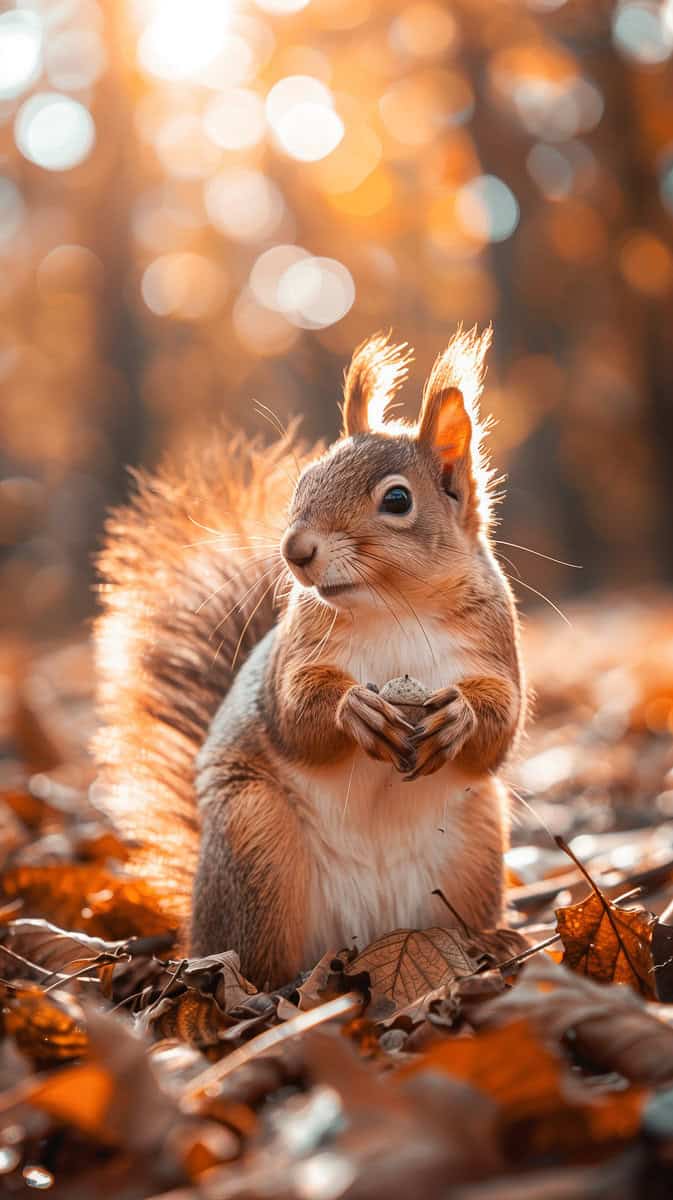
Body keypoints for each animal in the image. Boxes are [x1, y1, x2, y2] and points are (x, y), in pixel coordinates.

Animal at [94, 327, 524, 989]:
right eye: (303, 482)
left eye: (397, 499)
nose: (295, 550)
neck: (395, 605)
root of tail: (366, 934)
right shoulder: (291, 659)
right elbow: (296, 715)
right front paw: (355, 710)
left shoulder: (496, 645)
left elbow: (501, 725)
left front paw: (461, 717)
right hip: (257, 845)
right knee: (255, 958)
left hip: (473, 847)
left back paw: (491, 942)